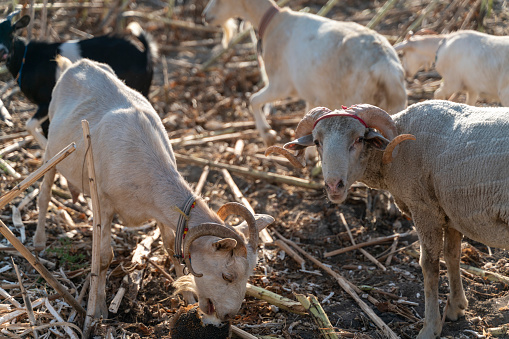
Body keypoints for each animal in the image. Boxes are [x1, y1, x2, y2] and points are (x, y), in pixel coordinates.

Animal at [0, 11, 156, 148]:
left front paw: (45, 147)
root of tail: (144, 55)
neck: (27, 58)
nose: (3, 51)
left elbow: (30, 125)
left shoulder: (46, 101)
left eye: (11, 33)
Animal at [37, 55, 274, 322]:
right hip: (52, 151)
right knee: (44, 192)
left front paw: (187, 298)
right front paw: (98, 310)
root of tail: (73, 64)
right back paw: (38, 242)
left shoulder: (160, 209)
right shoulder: (104, 202)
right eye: (228, 275)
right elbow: (105, 257)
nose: (228, 315)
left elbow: (171, 246)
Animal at [201, 0, 404, 145]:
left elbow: (253, 99)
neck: (272, 22)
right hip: (391, 108)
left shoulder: (280, 84)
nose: (205, 16)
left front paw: (268, 135)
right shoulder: (312, 94)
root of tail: (386, 66)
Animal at [266, 100, 508, 338]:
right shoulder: (451, 212)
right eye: (317, 142)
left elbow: (429, 265)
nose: (334, 186)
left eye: (359, 139)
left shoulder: (424, 208)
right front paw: (456, 307)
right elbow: (452, 256)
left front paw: (430, 328)